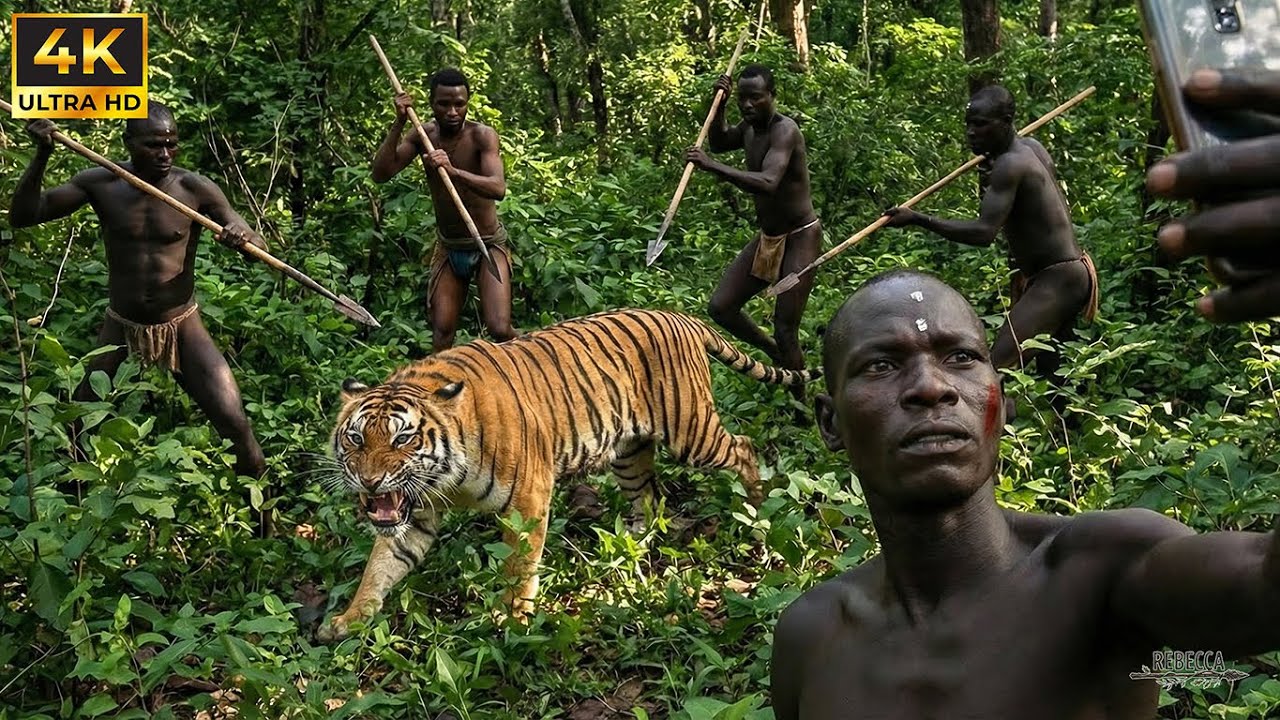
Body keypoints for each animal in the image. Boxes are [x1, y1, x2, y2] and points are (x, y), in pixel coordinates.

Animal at [316, 308, 819, 641]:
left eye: (402, 439)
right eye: (356, 439)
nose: (369, 482)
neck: (445, 476)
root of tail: (680, 315)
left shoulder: (527, 500)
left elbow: (519, 567)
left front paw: (512, 620)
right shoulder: (414, 513)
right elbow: (380, 565)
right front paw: (349, 620)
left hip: (692, 432)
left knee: (744, 448)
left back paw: (758, 512)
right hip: (629, 453)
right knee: (651, 499)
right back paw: (628, 551)